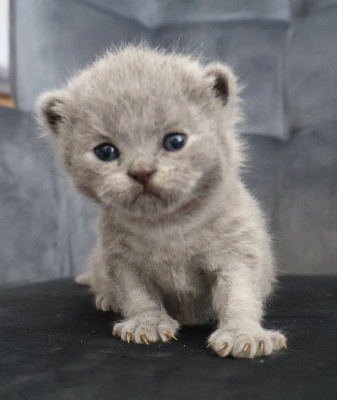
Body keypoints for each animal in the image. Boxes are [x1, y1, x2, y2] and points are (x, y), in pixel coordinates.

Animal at [34, 45, 286, 358]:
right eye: (105, 151)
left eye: (175, 141)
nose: (141, 171)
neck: (167, 227)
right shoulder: (121, 259)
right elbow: (137, 294)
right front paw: (147, 324)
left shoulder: (237, 252)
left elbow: (239, 295)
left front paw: (243, 334)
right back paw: (106, 298)